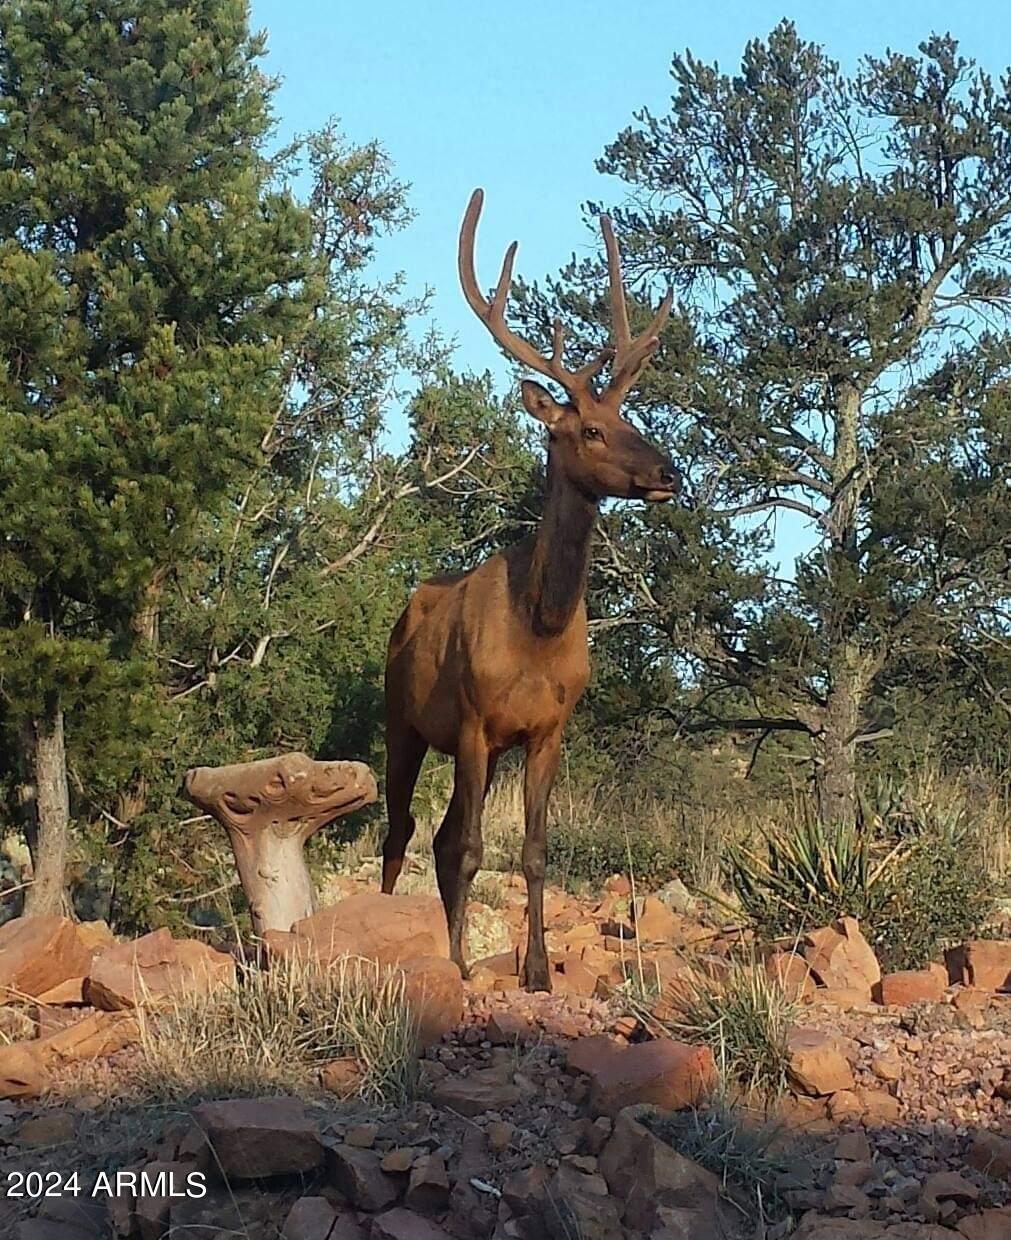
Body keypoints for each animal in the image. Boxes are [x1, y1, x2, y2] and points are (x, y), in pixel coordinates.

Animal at [381, 189, 681, 991]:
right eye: (588, 430)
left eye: (627, 416)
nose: (668, 471)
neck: (537, 628)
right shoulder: (475, 720)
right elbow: (470, 849)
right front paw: (457, 962)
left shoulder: (547, 729)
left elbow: (533, 852)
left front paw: (539, 971)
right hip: (403, 720)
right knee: (403, 830)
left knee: (437, 834)